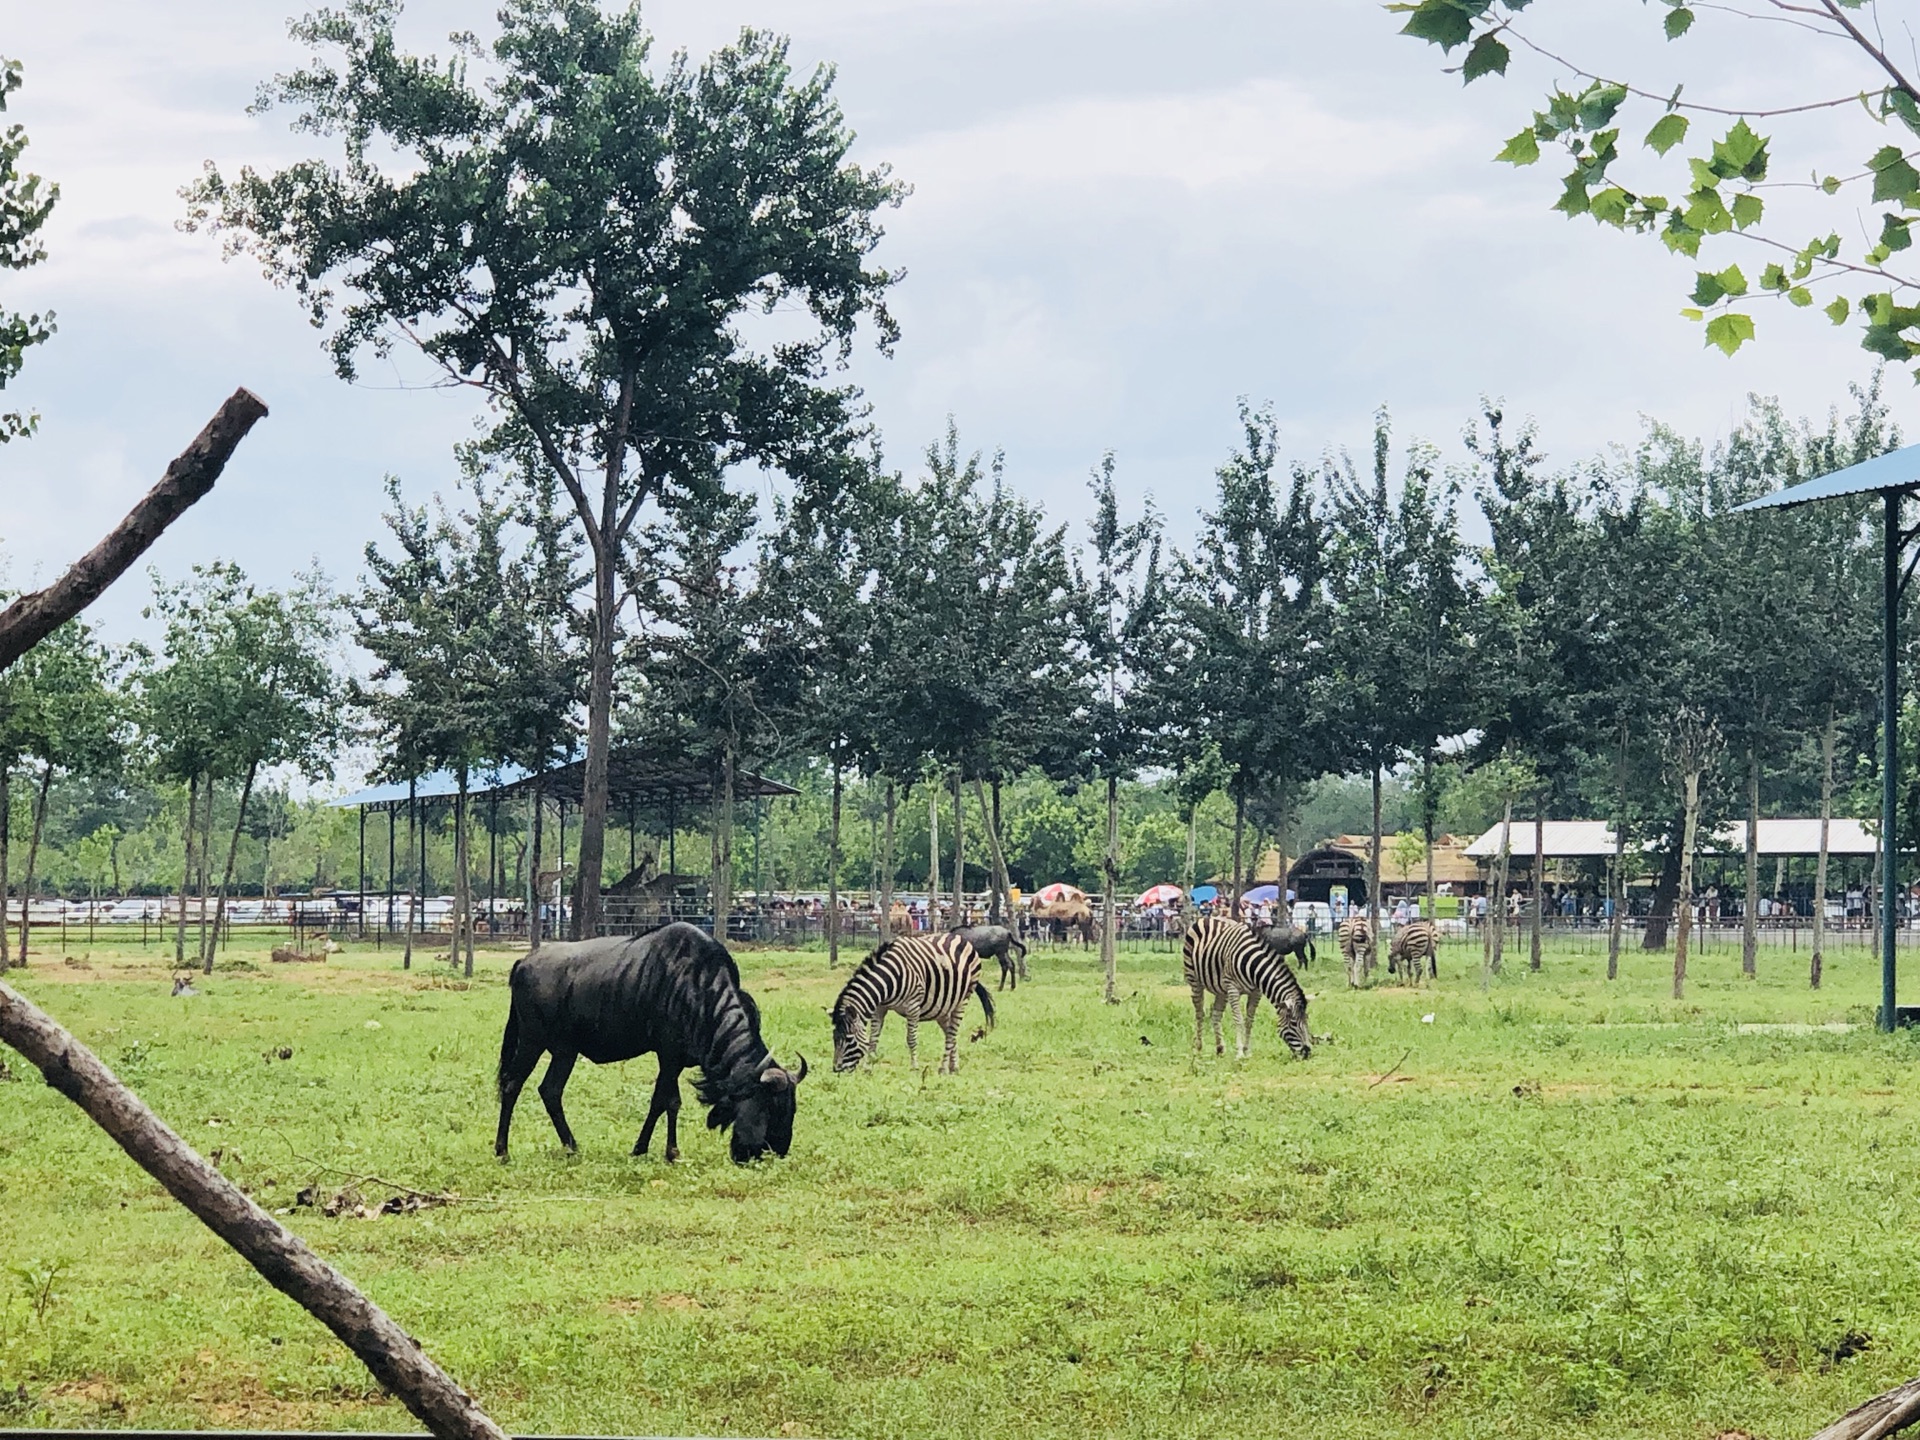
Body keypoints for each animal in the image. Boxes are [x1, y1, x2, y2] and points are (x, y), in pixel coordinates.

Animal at [833, 929, 998, 1075]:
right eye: (834, 1038)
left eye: (849, 1039)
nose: (836, 1069)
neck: (889, 979)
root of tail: (960, 938)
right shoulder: (880, 1007)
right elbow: (873, 1039)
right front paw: (867, 1068)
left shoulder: (912, 1006)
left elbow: (911, 1039)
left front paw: (914, 1068)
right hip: (942, 1008)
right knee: (950, 1034)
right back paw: (954, 1067)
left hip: (962, 1000)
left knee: (951, 1035)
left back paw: (943, 1068)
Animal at [1175, 925, 1313, 1059]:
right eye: (1293, 1023)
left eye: (1307, 1019)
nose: (1307, 1053)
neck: (1254, 967)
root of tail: (1205, 919)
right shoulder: (1233, 989)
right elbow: (1238, 1020)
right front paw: (1240, 1053)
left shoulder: (1256, 992)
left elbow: (1249, 1021)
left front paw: (1247, 1051)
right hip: (1195, 980)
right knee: (1199, 1014)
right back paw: (1197, 1048)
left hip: (1222, 990)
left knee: (1216, 1014)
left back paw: (1220, 1048)